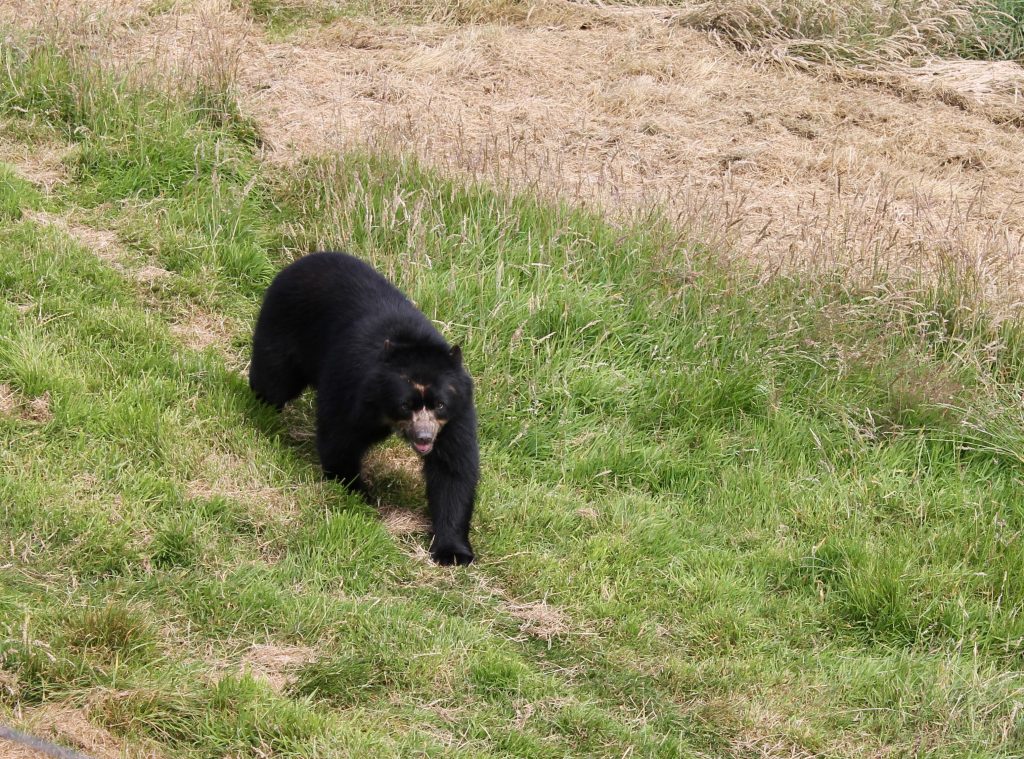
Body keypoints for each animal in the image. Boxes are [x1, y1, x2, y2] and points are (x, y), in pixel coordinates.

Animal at [253, 251, 481, 565]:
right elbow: (340, 435)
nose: (424, 438)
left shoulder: (457, 416)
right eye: (405, 405)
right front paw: (357, 491)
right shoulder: (352, 386)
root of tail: (304, 259)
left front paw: (453, 553)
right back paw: (261, 409)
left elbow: (453, 470)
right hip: (284, 326)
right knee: (274, 377)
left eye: (439, 404)